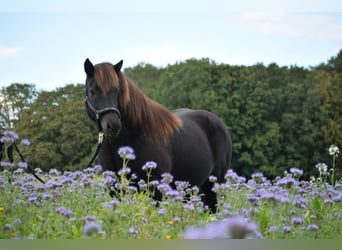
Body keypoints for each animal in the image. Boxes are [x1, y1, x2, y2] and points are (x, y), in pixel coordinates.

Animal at [84, 58, 232, 211]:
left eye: (117, 91)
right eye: (92, 91)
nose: (113, 125)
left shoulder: (155, 190)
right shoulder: (114, 188)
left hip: (214, 185)